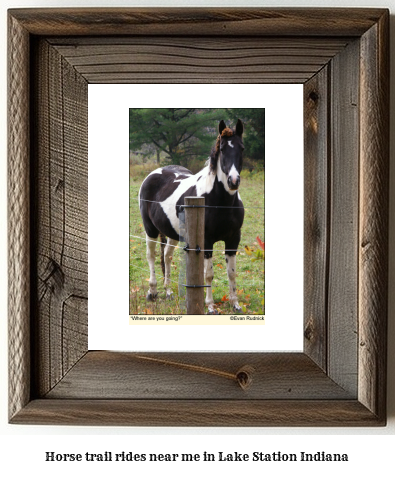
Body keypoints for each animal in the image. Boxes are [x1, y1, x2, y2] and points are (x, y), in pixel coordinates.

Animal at [138, 119, 244, 314]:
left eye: (241, 148)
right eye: (223, 149)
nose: (233, 181)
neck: (220, 201)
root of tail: (155, 172)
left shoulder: (233, 239)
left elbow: (231, 272)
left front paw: (235, 304)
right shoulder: (206, 241)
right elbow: (208, 274)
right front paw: (210, 306)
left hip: (172, 232)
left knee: (167, 255)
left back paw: (169, 291)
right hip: (150, 230)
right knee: (151, 256)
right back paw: (152, 292)